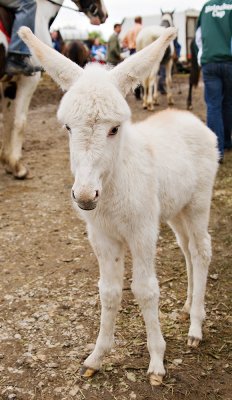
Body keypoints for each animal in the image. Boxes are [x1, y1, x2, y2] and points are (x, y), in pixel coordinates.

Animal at [0, 0, 107, 178]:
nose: (102, 14)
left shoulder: (9, 84)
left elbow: (8, 121)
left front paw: (8, 162)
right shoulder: (29, 79)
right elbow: (19, 122)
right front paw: (17, 166)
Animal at [18, 26, 219, 386]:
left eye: (114, 128)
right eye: (68, 127)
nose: (85, 197)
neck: (112, 186)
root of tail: (190, 119)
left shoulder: (142, 233)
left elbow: (145, 290)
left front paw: (157, 362)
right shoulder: (102, 237)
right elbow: (109, 292)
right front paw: (96, 358)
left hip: (198, 203)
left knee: (202, 251)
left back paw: (196, 326)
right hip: (175, 211)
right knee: (187, 249)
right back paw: (186, 307)